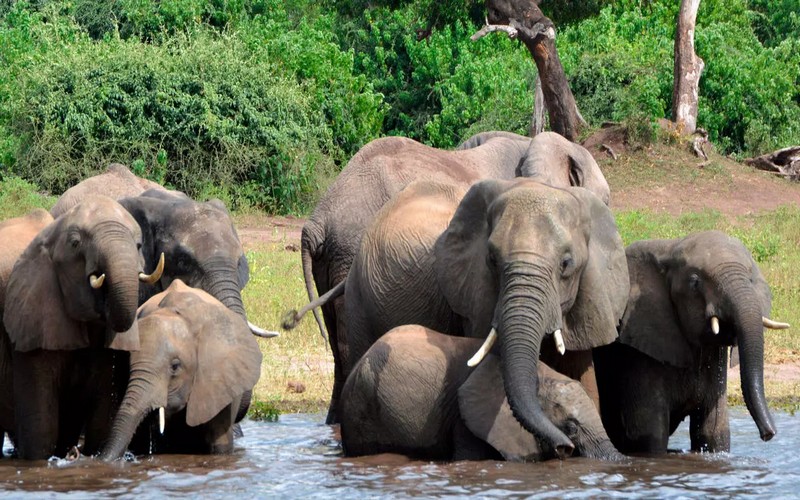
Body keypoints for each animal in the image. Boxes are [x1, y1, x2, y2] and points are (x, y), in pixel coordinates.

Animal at [593, 231, 789, 454]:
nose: (768, 434)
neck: (669, 248)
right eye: (695, 283)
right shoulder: (636, 352)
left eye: (750, 279)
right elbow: (649, 435)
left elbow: (714, 432)